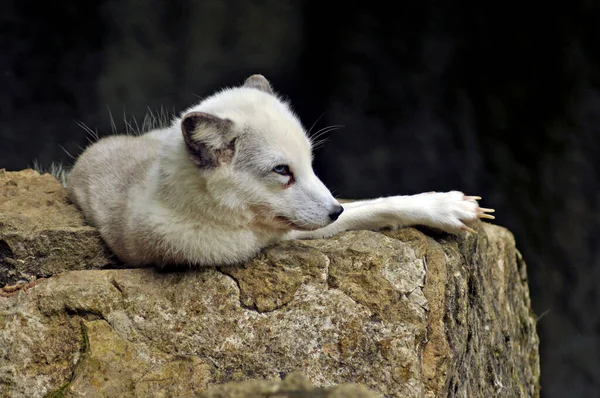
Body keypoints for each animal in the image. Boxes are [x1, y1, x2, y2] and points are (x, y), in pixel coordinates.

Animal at [68, 74, 494, 268]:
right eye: (281, 170)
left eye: (309, 162)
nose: (334, 210)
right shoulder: (267, 238)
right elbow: (369, 210)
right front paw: (445, 208)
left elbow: (373, 204)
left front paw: (445, 205)